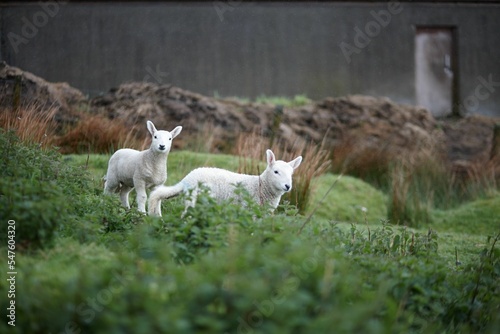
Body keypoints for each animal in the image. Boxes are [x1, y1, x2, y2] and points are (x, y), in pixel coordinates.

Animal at [147, 150, 300, 218]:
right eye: (276, 171)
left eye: (292, 174)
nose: (288, 186)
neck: (260, 186)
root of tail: (187, 180)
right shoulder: (248, 209)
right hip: (194, 199)